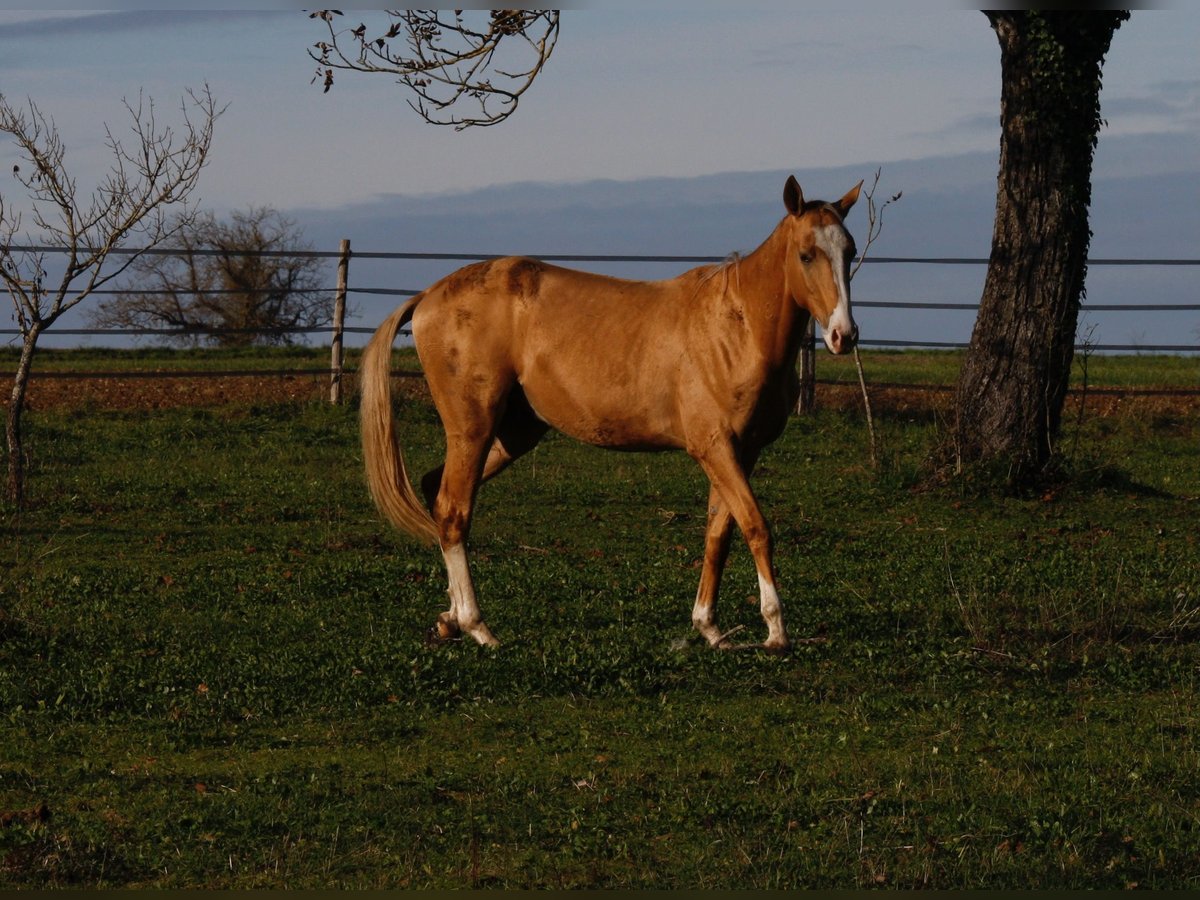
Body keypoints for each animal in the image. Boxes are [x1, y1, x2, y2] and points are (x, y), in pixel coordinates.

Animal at [357, 176, 864, 652]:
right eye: (806, 255)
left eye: (850, 252)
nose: (844, 335)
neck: (735, 328)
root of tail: (427, 296)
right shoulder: (714, 448)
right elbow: (756, 527)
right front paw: (776, 631)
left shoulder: (743, 452)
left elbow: (719, 534)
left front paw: (710, 627)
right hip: (473, 428)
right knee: (454, 510)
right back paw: (478, 627)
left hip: (512, 434)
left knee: (435, 494)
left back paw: (449, 619)